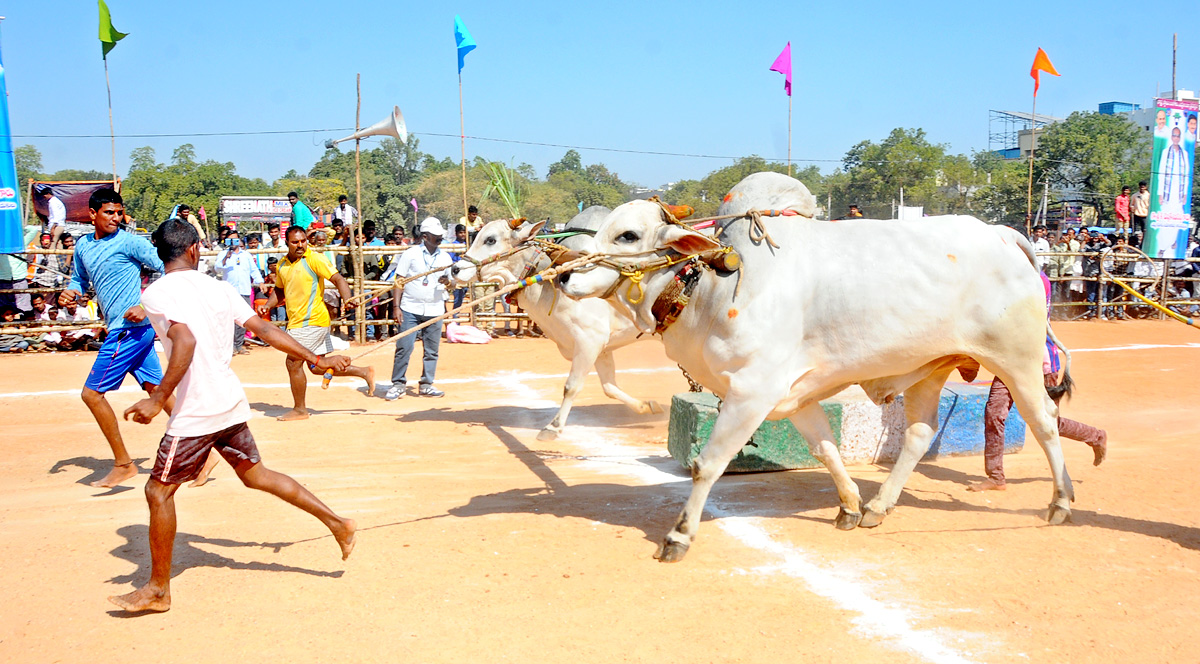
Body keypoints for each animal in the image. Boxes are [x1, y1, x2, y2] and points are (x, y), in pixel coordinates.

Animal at [451, 206, 662, 439]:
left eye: (490, 240)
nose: (455, 269)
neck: (551, 284)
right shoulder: (601, 349)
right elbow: (609, 387)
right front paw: (647, 406)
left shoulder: (589, 342)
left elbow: (572, 386)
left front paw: (552, 427)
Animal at [556, 170, 1075, 559]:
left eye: (628, 235)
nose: (562, 276)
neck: (711, 285)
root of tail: (1001, 233)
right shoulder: (793, 395)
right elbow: (825, 448)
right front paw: (850, 506)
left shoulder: (752, 391)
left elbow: (708, 464)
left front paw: (679, 536)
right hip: (931, 367)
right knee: (920, 434)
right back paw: (879, 506)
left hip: (1017, 361)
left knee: (1045, 420)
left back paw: (1061, 502)